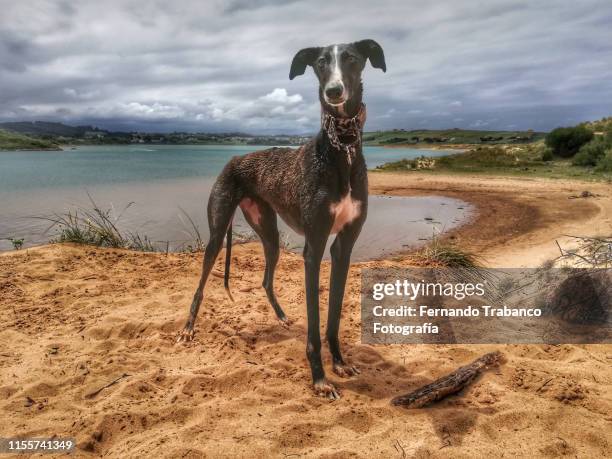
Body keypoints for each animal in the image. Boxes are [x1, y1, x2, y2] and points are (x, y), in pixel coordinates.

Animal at [178, 39, 388, 398]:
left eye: (351, 58)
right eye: (320, 62)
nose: (334, 91)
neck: (341, 148)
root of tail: (234, 159)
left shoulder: (343, 248)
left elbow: (333, 316)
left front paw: (339, 363)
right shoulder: (313, 249)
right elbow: (315, 324)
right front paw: (319, 379)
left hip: (269, 234)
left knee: (265, 279)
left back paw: (281, 317)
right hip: (217, 232)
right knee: (201, 284)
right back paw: (189, 328)